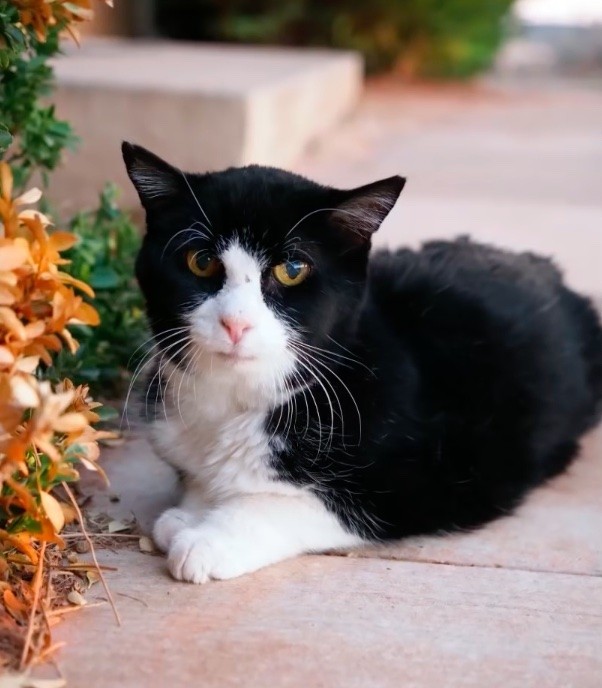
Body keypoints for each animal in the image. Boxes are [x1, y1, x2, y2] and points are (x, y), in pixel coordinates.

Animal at [122, 142, 600, 584]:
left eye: (292, 269)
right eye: (201, 261)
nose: (235, 322)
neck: (240, 398)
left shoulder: (430, 482)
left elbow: (304, 503)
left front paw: (209, 537)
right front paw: (190, 511)